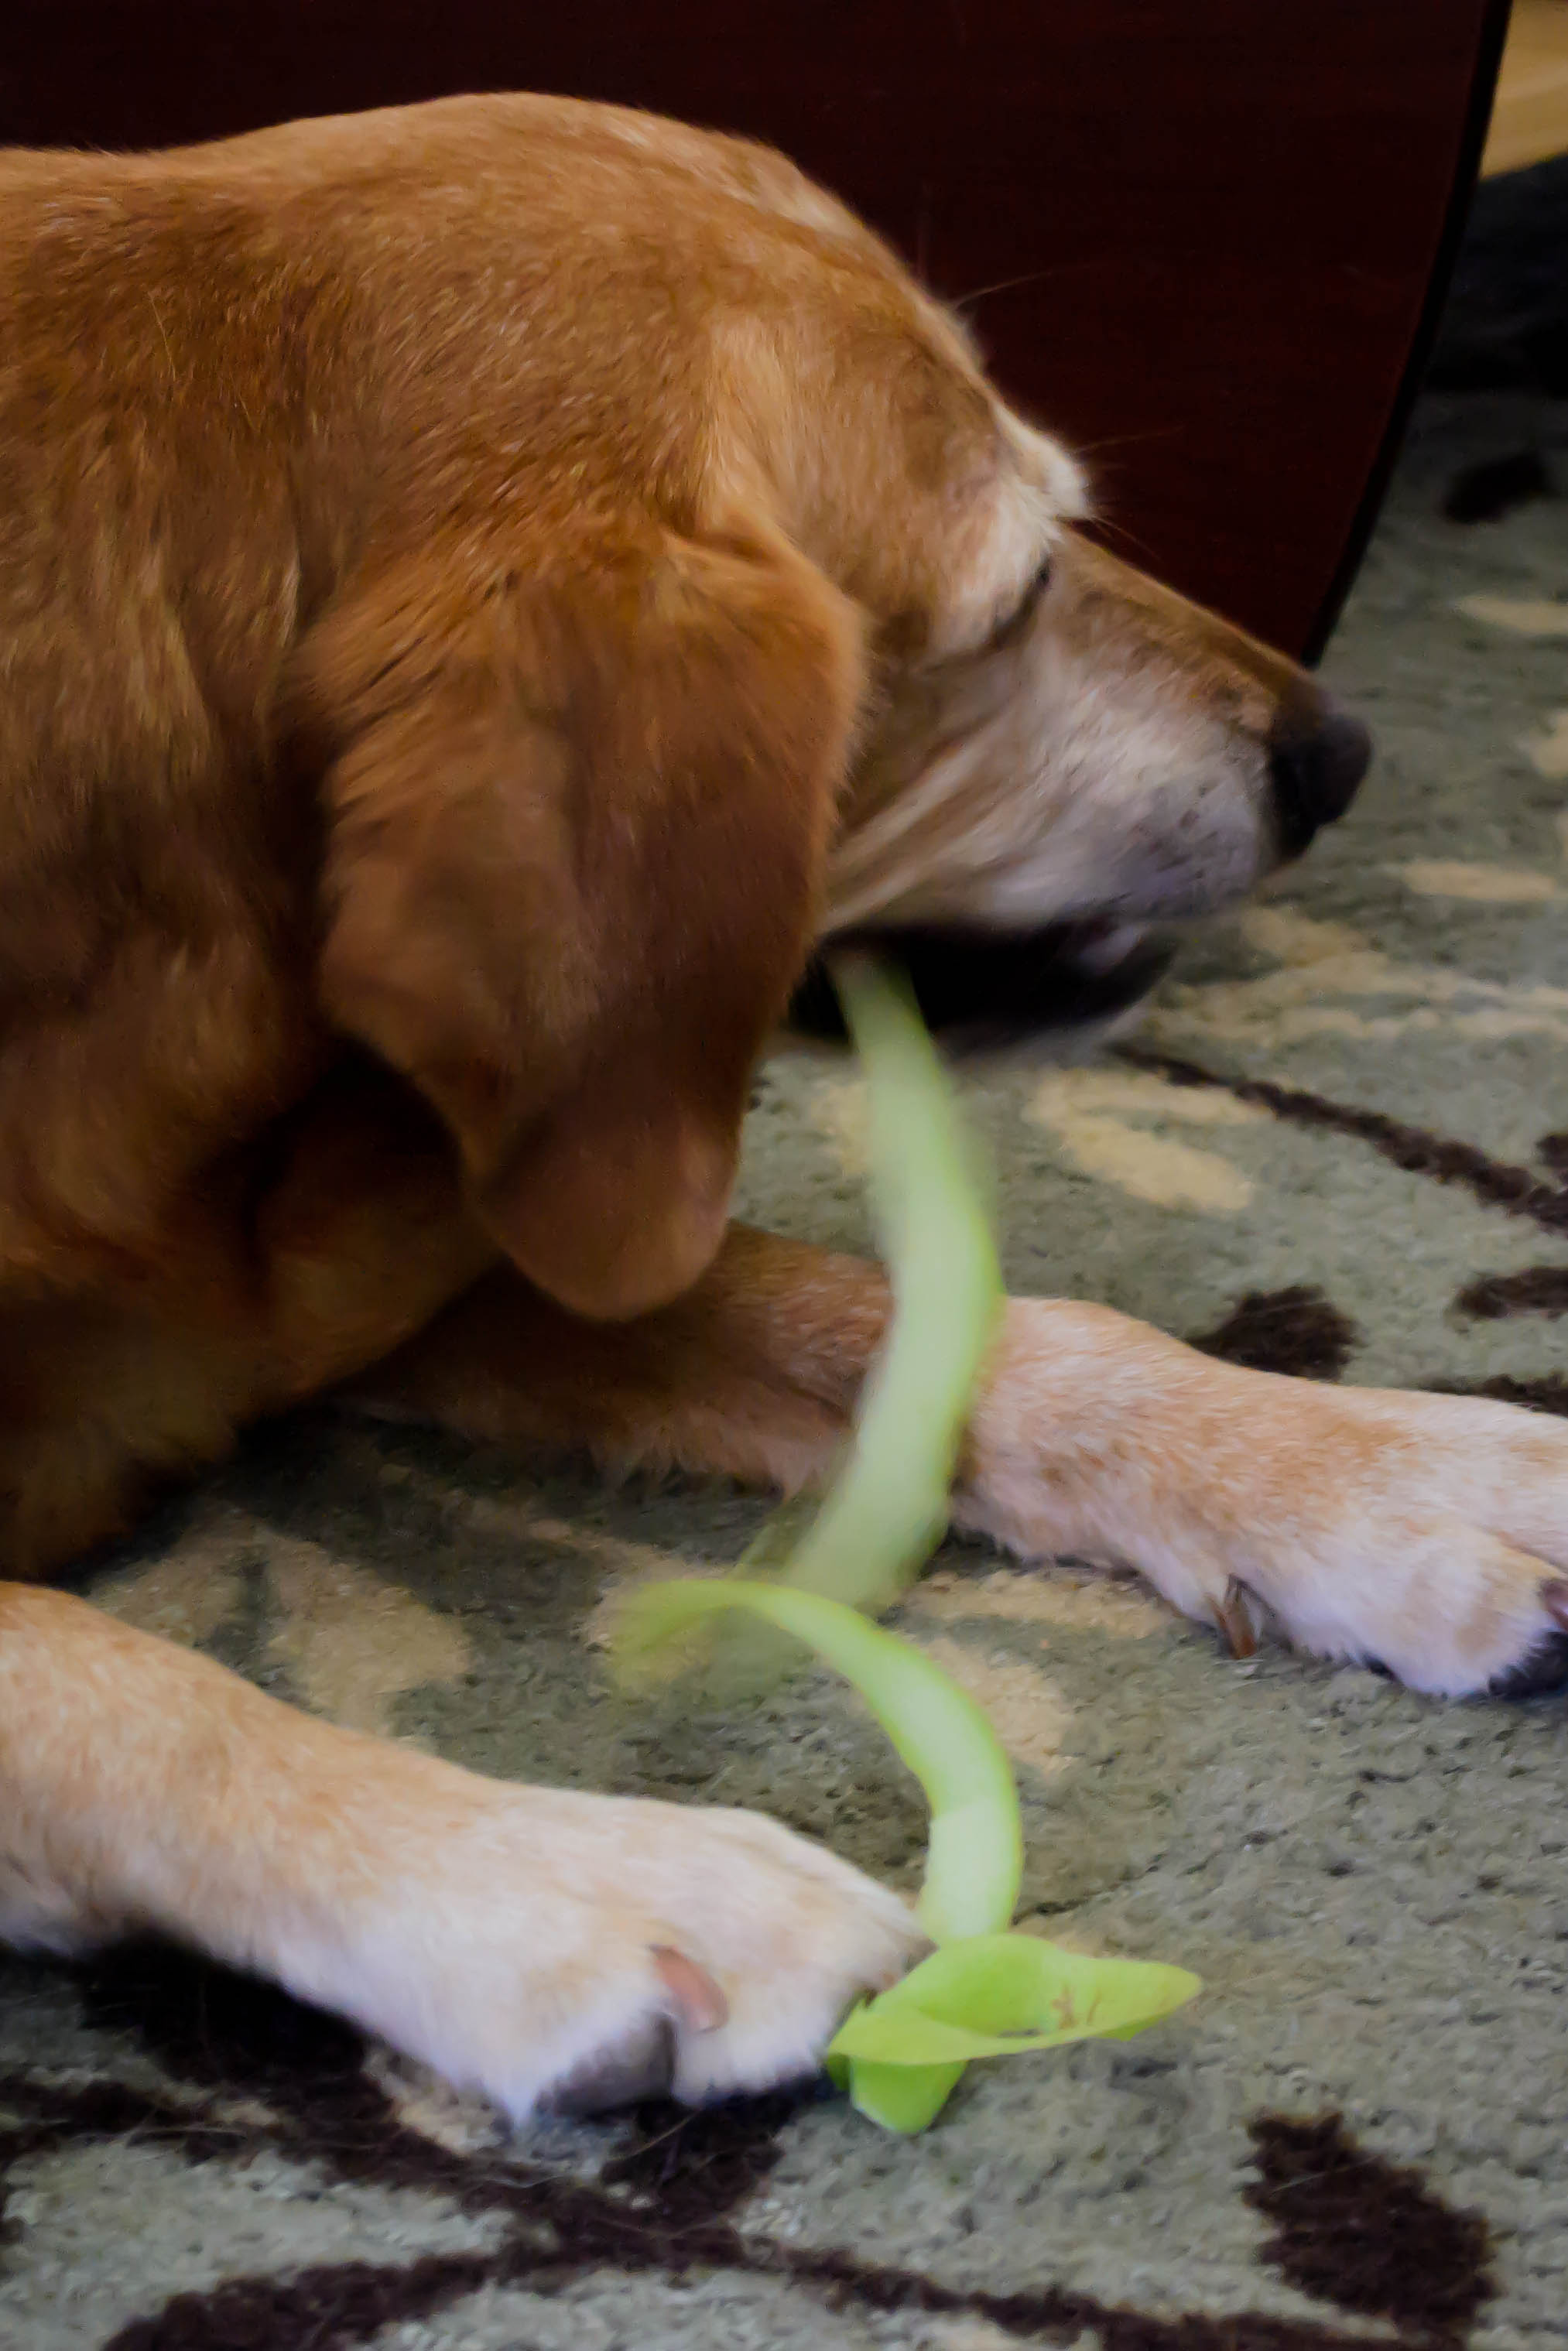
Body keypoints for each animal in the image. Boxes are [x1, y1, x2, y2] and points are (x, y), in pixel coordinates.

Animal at [3, 93, 1567, 2120]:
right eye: (1021, 589)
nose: (1339, 750)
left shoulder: (474, 1228)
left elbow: (990, 1336)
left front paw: (1363, 1468)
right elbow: (114, 1682)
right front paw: (561, 1877)